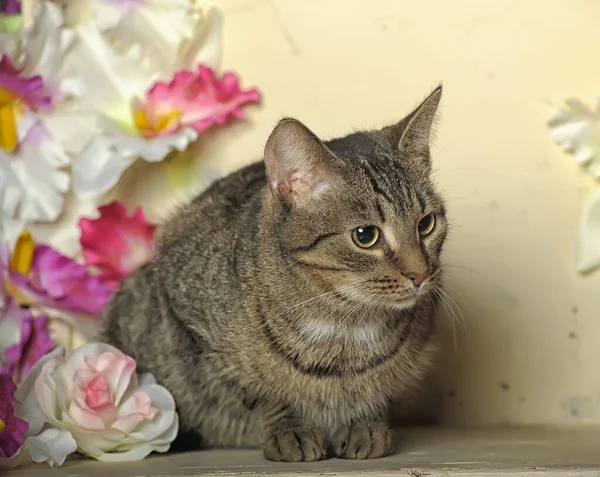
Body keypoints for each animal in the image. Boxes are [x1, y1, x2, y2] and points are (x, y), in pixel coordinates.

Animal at [99, 85, 446, 462]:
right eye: (365, 235)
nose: (420, 275)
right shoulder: (192, 330)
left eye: (426, 224)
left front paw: (364, 423)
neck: (344, 329)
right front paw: (289, 429)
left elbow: (373, 392)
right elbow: (263, 392)